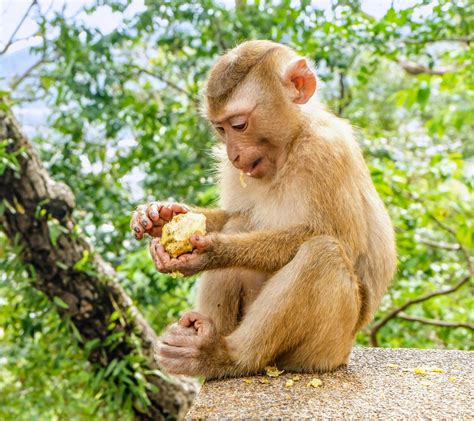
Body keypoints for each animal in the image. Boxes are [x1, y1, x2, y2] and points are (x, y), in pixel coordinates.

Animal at [130, 41, 396, 378]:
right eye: (220, 129)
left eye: (239, 125)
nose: (233, 154)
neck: (290, 147)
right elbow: (232, 214)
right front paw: (158, 215)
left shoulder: (326, 150)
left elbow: (343, 239)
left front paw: (215, 251)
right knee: (241, 223)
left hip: (326, 349)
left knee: (323, 253)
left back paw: (224, 355)